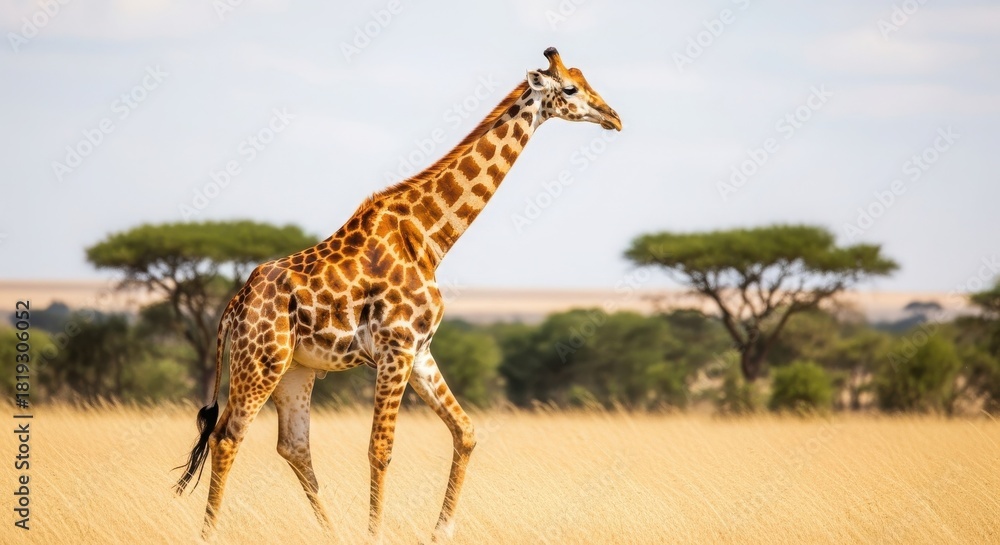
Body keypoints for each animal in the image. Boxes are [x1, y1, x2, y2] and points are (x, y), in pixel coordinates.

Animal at [174, 47, 621, 542]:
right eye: (570, 89)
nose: (614, 117)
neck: (430, 236)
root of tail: (232, 309)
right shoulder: (396, 348)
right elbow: (380, 449)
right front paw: (378, 533)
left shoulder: (420, 350)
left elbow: (465, 431)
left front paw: (441, 530)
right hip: (260, 362)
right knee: (227, 437)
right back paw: (211, 533)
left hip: (295, 370)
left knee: (293, 446)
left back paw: (332, 533)